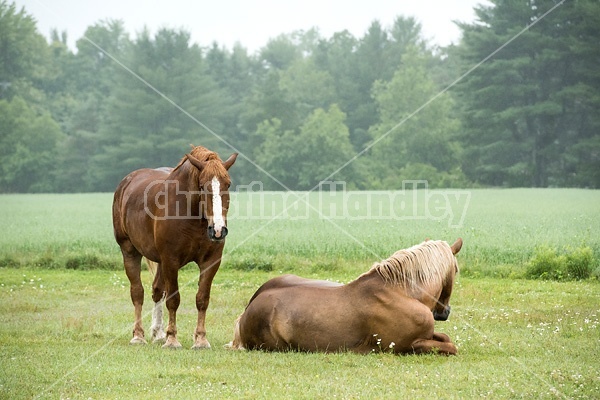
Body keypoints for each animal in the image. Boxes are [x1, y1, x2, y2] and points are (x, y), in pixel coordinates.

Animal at [112, 144, 237, 346]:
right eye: (202, 186)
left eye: (228, 184)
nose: (218, 230)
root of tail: (126, 182)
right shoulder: (171, 260)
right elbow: (173, 299)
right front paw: (172, 339)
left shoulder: (211, 261)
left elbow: (202, 298)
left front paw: (200, 339)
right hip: (130, 251)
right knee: (138, 292)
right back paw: (138, 335)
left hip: (160, 262)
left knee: (157, 290)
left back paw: (157, 333)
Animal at [227, 239, 462, 354]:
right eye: (457, 270)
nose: (444, 312)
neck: (401, 293)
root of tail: (250, 306)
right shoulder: (406, 346)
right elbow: (451, 347)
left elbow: (446, 338)